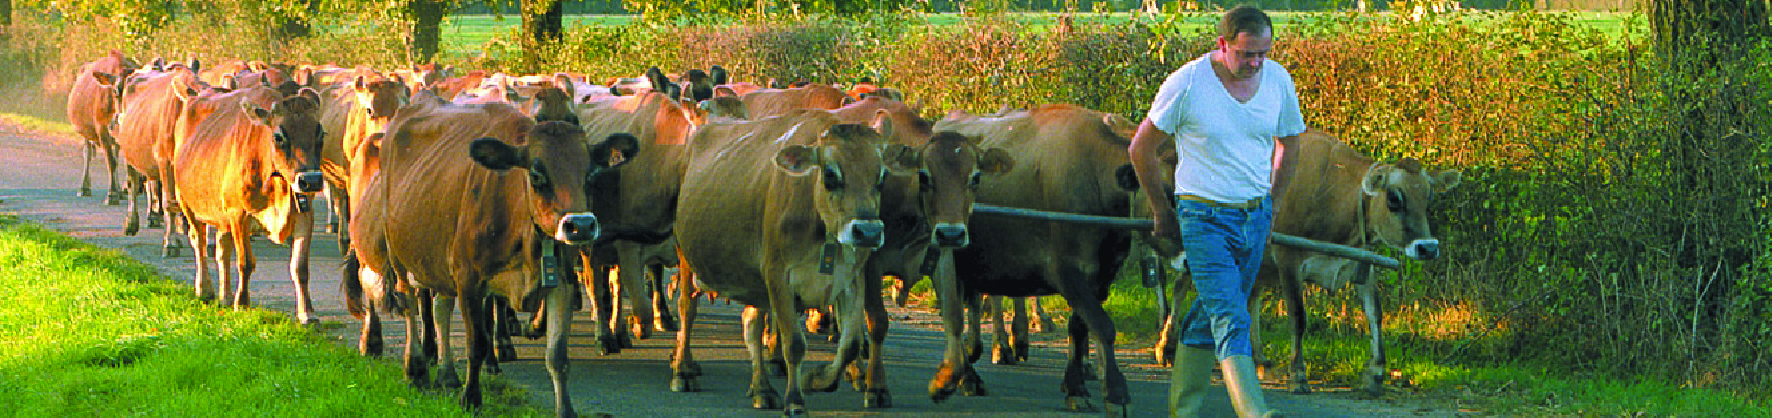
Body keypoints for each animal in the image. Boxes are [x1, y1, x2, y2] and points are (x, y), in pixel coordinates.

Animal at [172, 84, 329, 324]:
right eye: (279, 136)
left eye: (320, 133)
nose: (310, 180)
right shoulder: (238, 213)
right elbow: (245, 262)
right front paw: (243, 304)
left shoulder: (304, 213)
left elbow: (300, 266)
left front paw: (307, 313)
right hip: (186, 201)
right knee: (199, 241)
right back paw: (205, 290)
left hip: (221, 213)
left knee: (222, 248)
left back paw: (226, 296)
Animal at [345, 98, 637, 414]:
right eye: (537, 175)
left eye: (590, 174)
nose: (580, 225)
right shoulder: (469, 280)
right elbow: (477, 343)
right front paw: (471, 398)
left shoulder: (562, 283)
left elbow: (558, 355)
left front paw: (566, 410)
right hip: (399, 257)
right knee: (410, 305)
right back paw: (416, 369)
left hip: (437, 261)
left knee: (440, 308)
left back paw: (446, 374)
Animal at [673, 111, 914, 414]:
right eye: (830, 174)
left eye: (881, 176)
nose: (868, 232)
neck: (825, 234)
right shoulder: (778, 276)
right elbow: (794, 344)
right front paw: (795, 400)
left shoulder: (851, 280)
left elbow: (850, 344)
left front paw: (816, 379)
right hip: (686, 257)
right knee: (687, 309)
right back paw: (683, 371)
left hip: (754, 282)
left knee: (751, 324)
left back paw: (762, 389)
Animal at [935, 104, 1141, 414]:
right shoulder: (1064, 268)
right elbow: (1102, 325)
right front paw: (1115, 393)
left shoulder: (1103, 275)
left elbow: (1080, 325)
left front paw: (1076, 386)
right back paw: (972, 374)